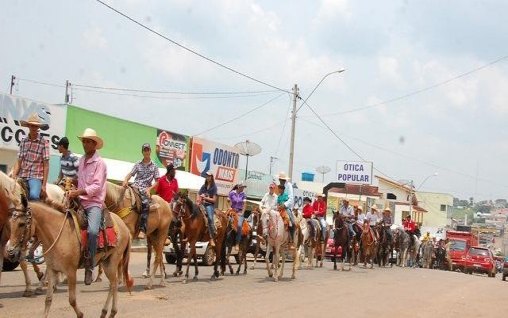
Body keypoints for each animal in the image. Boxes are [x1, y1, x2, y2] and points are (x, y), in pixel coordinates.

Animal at [5, 193, 133, 318]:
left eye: (21, 224)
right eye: (10, 223)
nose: (10, 252)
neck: (57, 234)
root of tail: (124, 227)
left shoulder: (71, 271)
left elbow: (72, 300)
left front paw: (80, 314)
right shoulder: (52, 270)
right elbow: (48, 299)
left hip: (112, 261)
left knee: (114, 283)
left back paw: (112, 312)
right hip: (106, 262)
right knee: (112, 284)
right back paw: (104, 312)